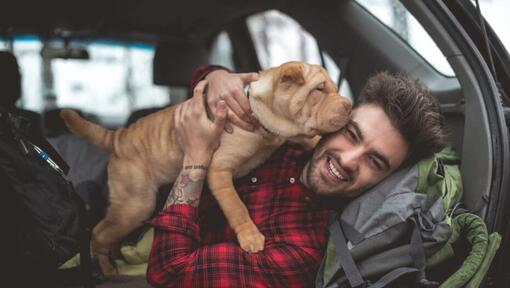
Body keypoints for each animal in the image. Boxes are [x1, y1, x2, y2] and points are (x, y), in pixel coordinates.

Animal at [59, 60, 352, 272]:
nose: (349, 105)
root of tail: (119, 137)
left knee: (111, 234)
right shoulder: (219, 171)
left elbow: (310, 140)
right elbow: (237, 207)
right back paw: (108, 269)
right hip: (135, 205)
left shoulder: (291, 135)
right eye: (318, 90)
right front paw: (250, 237)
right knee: (99, 233)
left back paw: (118, 258)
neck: (262, 121)